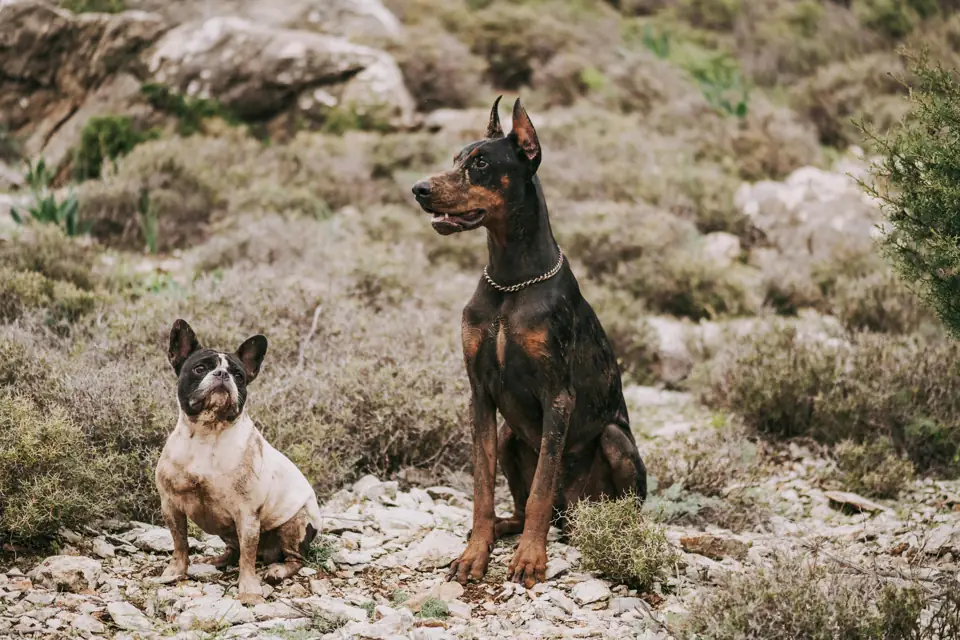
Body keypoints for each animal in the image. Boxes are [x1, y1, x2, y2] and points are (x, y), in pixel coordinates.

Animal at [410, 97, 644, 588]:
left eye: (481, 163)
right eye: (457, 157)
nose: (419, 189)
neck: (511, 282)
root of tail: (572, 518)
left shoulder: (557, 396)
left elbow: (541, 486)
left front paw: (530, 559)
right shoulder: (480, 395)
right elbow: (483, 487)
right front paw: (475, 553)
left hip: (615, 440)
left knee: (595, 506)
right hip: (508, 436)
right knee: (518, 508)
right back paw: (501, 528)